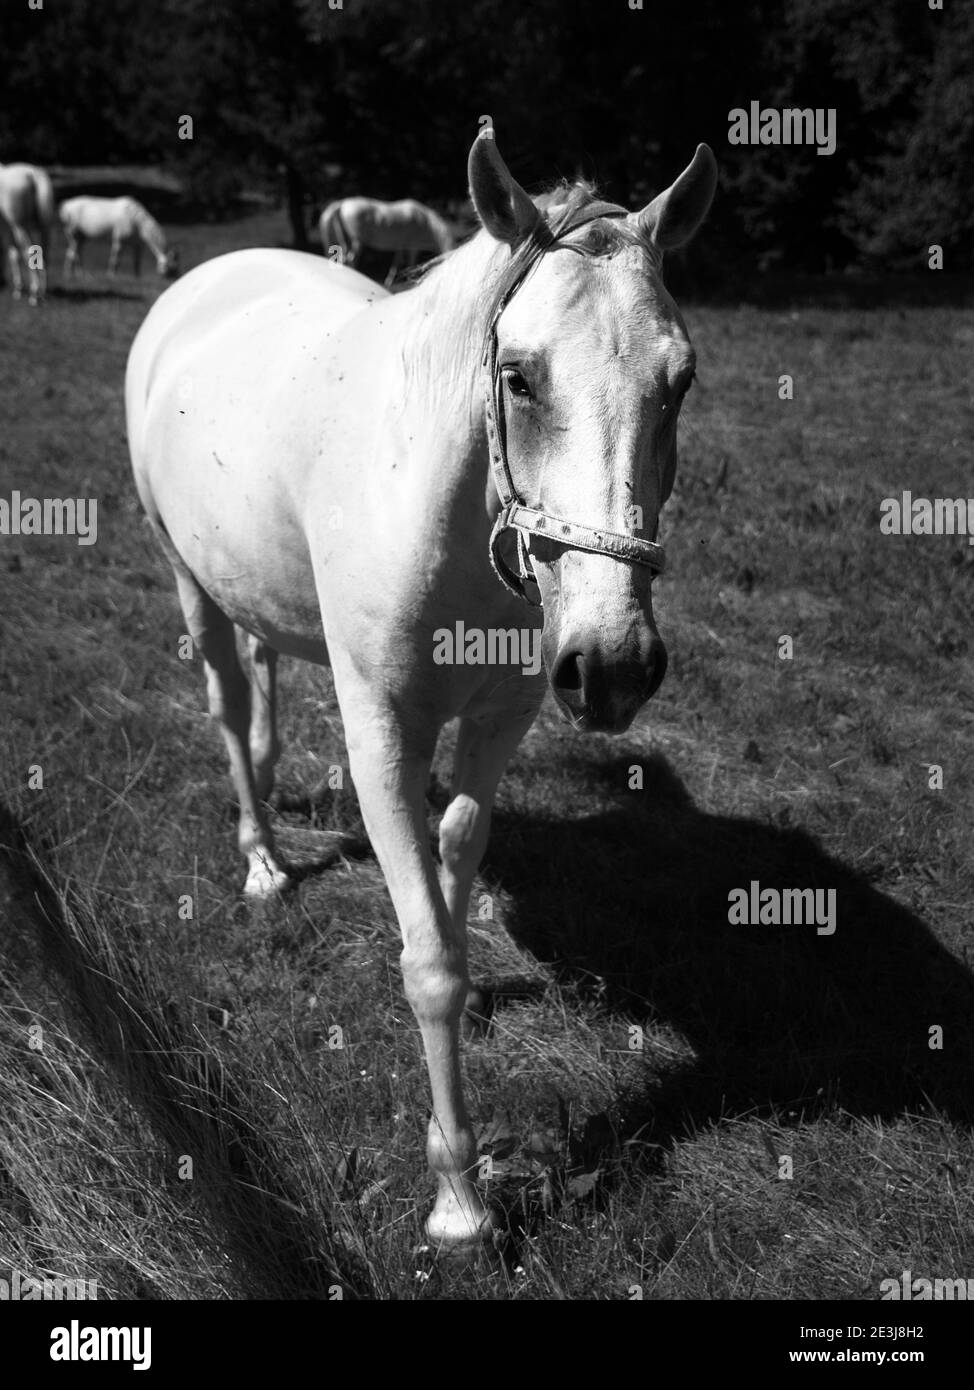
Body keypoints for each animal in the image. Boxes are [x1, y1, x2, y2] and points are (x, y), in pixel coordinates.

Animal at [0, 162, 55, 304]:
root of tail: (32, 175)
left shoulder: (8, 227)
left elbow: (11, 253)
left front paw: (17, 289)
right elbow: (12, 254)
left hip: (20, 226)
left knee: (29, 253)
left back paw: (34, 295)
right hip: (44, 226)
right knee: (44, 253)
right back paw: (43, 293)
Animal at [319, 194, 455, 286]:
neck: (425, 223)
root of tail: (342, 204)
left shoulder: (401, 246)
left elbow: (396, 262)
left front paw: (389, 281)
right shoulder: (413, 247)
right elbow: (410, 263)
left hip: (346, 240)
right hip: (357, 241)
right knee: (351, 259)